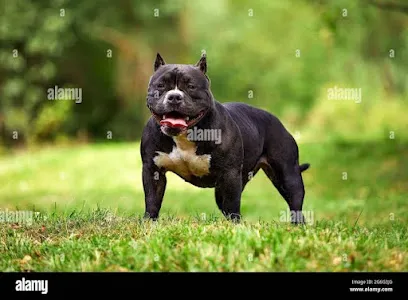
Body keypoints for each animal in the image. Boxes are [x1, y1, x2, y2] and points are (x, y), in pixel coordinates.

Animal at [140, 52, 310, 224]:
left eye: (191, 86)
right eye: (161, 85)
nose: (174, 96)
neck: (184, 136)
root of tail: (276, 120)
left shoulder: (230, 174)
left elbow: (232, 204)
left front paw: (235, 226)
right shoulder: (152, 170)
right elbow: (152, 200)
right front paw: (149, 222)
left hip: (288, 175)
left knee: (295, 201)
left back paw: (297, 224)